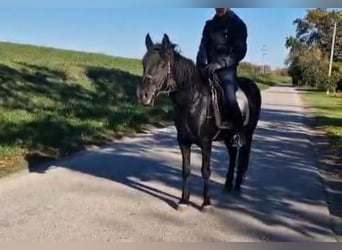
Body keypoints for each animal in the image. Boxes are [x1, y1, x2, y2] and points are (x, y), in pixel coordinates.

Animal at [137, 33, 262, 211]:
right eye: (143, 63)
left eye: (162, 65)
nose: (143, 95)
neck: (193, 102)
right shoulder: (183, 141)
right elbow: (186, 169)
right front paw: (184, 200)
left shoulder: (205, 143)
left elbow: (205, 171)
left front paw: (206, 203)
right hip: (228, 137)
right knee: (233, 156)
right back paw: (228, 185)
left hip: (248, 134)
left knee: (242, 157)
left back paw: (237, 187)